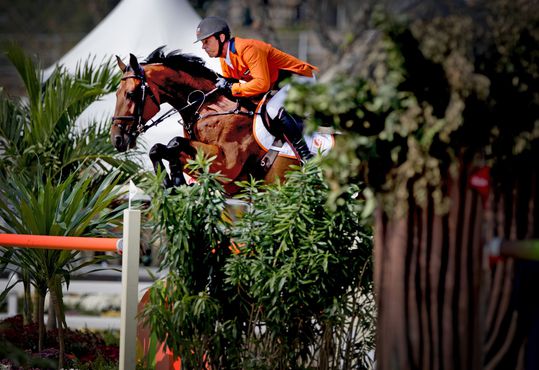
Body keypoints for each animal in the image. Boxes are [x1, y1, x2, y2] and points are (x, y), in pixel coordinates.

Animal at [110, 47, 306, 195]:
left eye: (131, 94)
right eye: (116, 94)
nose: (117, 139)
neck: (206, 106)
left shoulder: (228, 165)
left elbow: (174, 142)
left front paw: (175, 180)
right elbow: (158, 148)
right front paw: (173, 182)